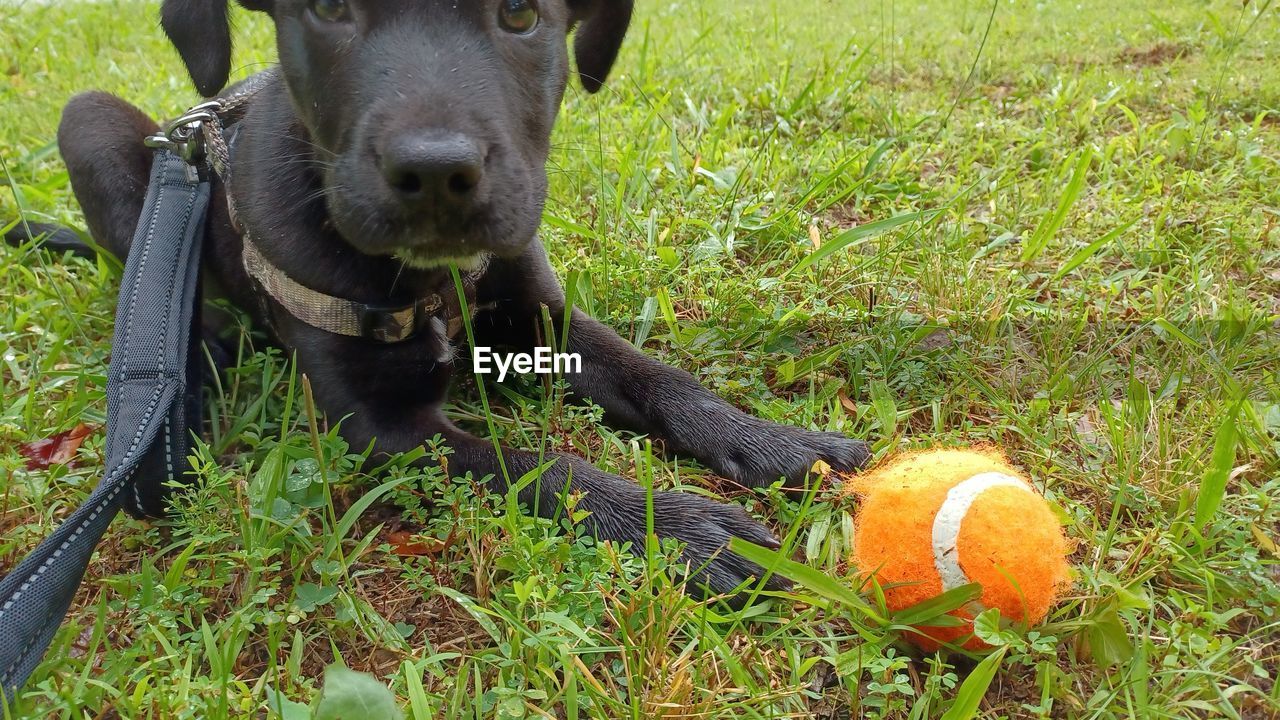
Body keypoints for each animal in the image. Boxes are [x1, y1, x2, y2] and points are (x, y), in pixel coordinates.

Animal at [32, 0, 870, 594]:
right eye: (328, 8)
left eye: (521, 14)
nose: (436, 173)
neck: (430, 278)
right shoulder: (379, 427)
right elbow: (534, 464)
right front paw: (679, 529)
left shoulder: (539, 320)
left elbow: (659, 377)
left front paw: (771, 441)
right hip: (90, 123)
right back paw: (204, 353)